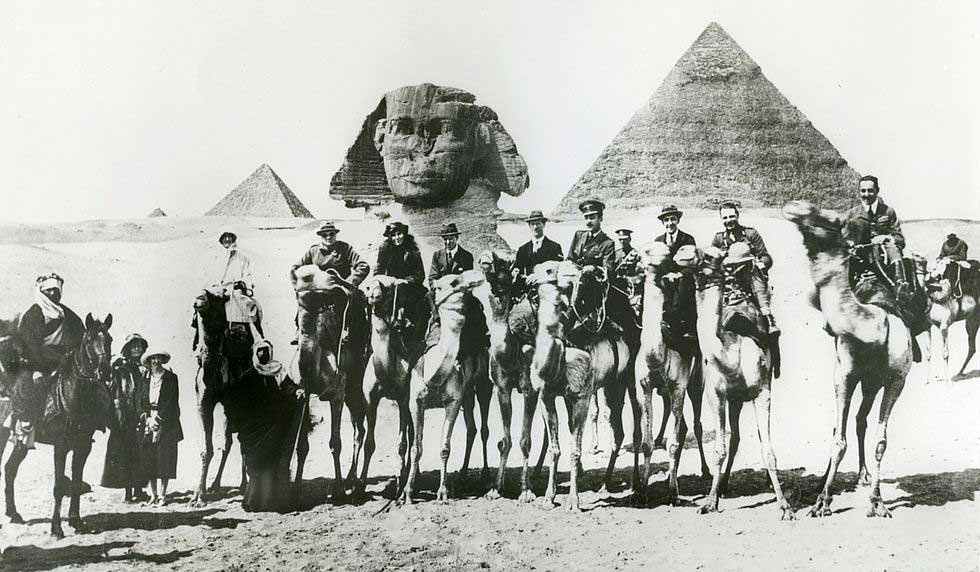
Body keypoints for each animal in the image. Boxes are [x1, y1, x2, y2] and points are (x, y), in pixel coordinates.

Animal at [292, 266, 370, 498]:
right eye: (306, 276)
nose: (333, 275)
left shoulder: (337, 393)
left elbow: (335, 443)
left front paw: (338, 490)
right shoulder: (305, 394)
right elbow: (302, 445)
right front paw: (296, 490)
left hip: (354, 386)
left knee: (361, 428)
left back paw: (355, 481)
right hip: (351, 394)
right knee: (359, 429)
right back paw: (351, 479)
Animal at [402, 270, 486, 502]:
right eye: (453, 281)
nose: (477, 275)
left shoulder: (452, 402)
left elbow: (444, 448)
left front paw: (443, 491)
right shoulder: (415, 402)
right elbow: (416, 448)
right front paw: (408, 492)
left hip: (483, 384)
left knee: (482, 428)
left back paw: (483, 475)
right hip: (467, 394)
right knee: (472, 428)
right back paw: (463, 475)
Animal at [476, 252, 548, 502]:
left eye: (506, 262)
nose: (485, 258)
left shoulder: (530, 389)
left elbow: (525, 440)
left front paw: (525, 491)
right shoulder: (502, 388)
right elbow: (504, 441)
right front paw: (495, 488)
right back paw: (538, 471)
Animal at [632, 244, 708, 502]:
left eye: (665, 249)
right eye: (648, 250)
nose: (670, 253)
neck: (656, 355)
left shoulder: (678, 387)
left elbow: (673, 443)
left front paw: (673, 493)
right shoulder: (644, 387)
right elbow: (647, 444)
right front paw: (642, 492)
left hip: (695, 384)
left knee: (696, 425)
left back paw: (705, 471)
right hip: (665, 392)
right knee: (683, 427)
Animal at [780, 202, 912, 520]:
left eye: (829, 219)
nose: (795, 206)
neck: (874, 325)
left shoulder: (896, 381)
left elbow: (881, 442)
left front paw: (878, 502)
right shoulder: (844, 375)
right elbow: (837, 440)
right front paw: (822, 502)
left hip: (872, 384)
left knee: (861, 420)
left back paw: (865, 476)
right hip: (859, 379)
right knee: (842, 425)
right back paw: (826, 482)